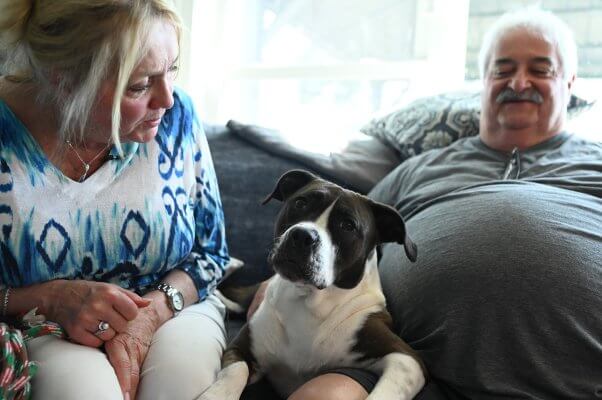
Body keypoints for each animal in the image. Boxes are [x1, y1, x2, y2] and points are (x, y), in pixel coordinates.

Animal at [199, 170, 424, 398]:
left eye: (348, 226)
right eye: (300, 203)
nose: (302, 235)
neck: (308, 301)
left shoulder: (406, 359)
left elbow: (384, 393)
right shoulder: (240, 347)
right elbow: (235, 371)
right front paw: (216, 394)